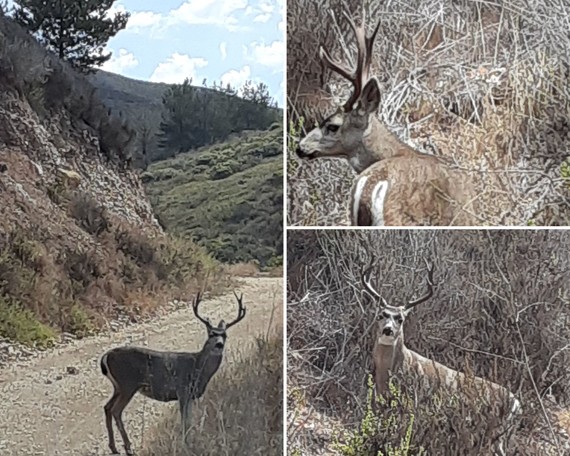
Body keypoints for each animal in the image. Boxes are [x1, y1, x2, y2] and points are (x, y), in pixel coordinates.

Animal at [100, 290, 246, 454]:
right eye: (211, 334)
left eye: (225, 335)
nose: (219, 345)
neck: (197, 368)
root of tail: (106, 356)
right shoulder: (182, 391)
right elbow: (184, 421)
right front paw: (185, 444)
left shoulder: (190, 396)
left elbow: (190, 421)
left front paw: (190, 441)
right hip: (127, 384)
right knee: (116, 410)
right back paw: (127, 447)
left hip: (118, 387)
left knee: (107, 407)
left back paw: (113, 447)